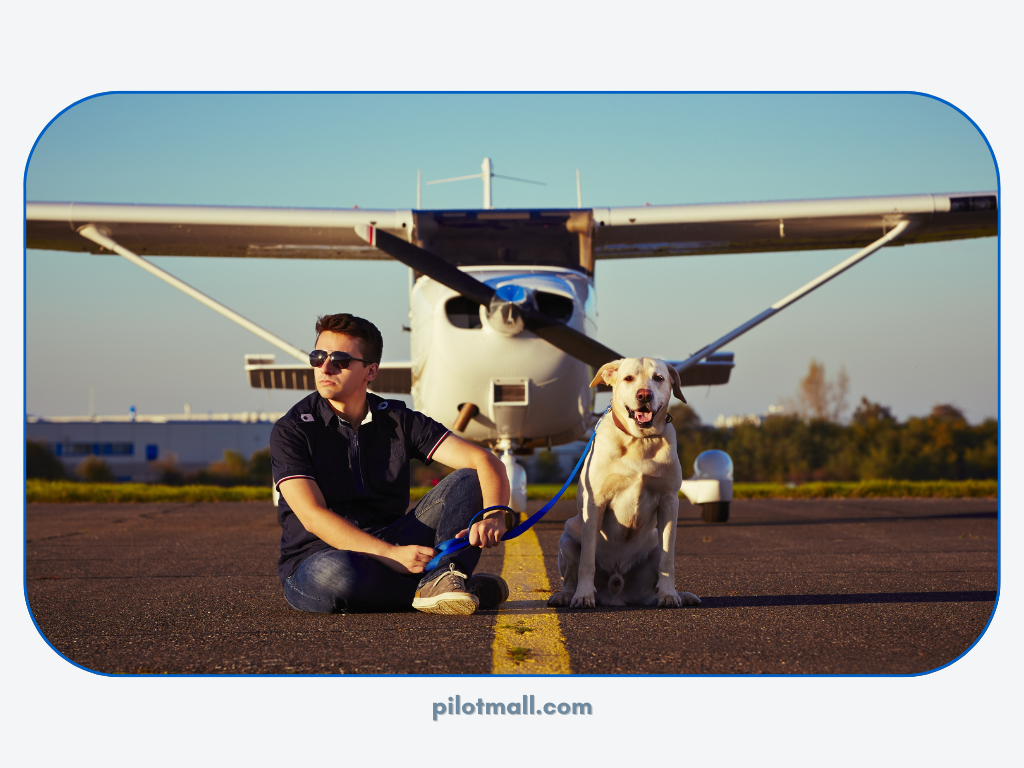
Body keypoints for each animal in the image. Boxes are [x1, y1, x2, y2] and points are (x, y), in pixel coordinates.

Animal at [548, 358, 700, 610]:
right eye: (628, 378)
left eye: (658, 378)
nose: (644, 395)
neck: (639, 440)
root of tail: (616, 593)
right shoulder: (595, 503)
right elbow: (587, 560)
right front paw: (583, 596)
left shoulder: (669, 501)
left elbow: (668, 560)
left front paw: (669, 595)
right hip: (567, 538)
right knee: (570, 576)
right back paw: (565, 595)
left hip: (653, 545)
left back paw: (682, 595)